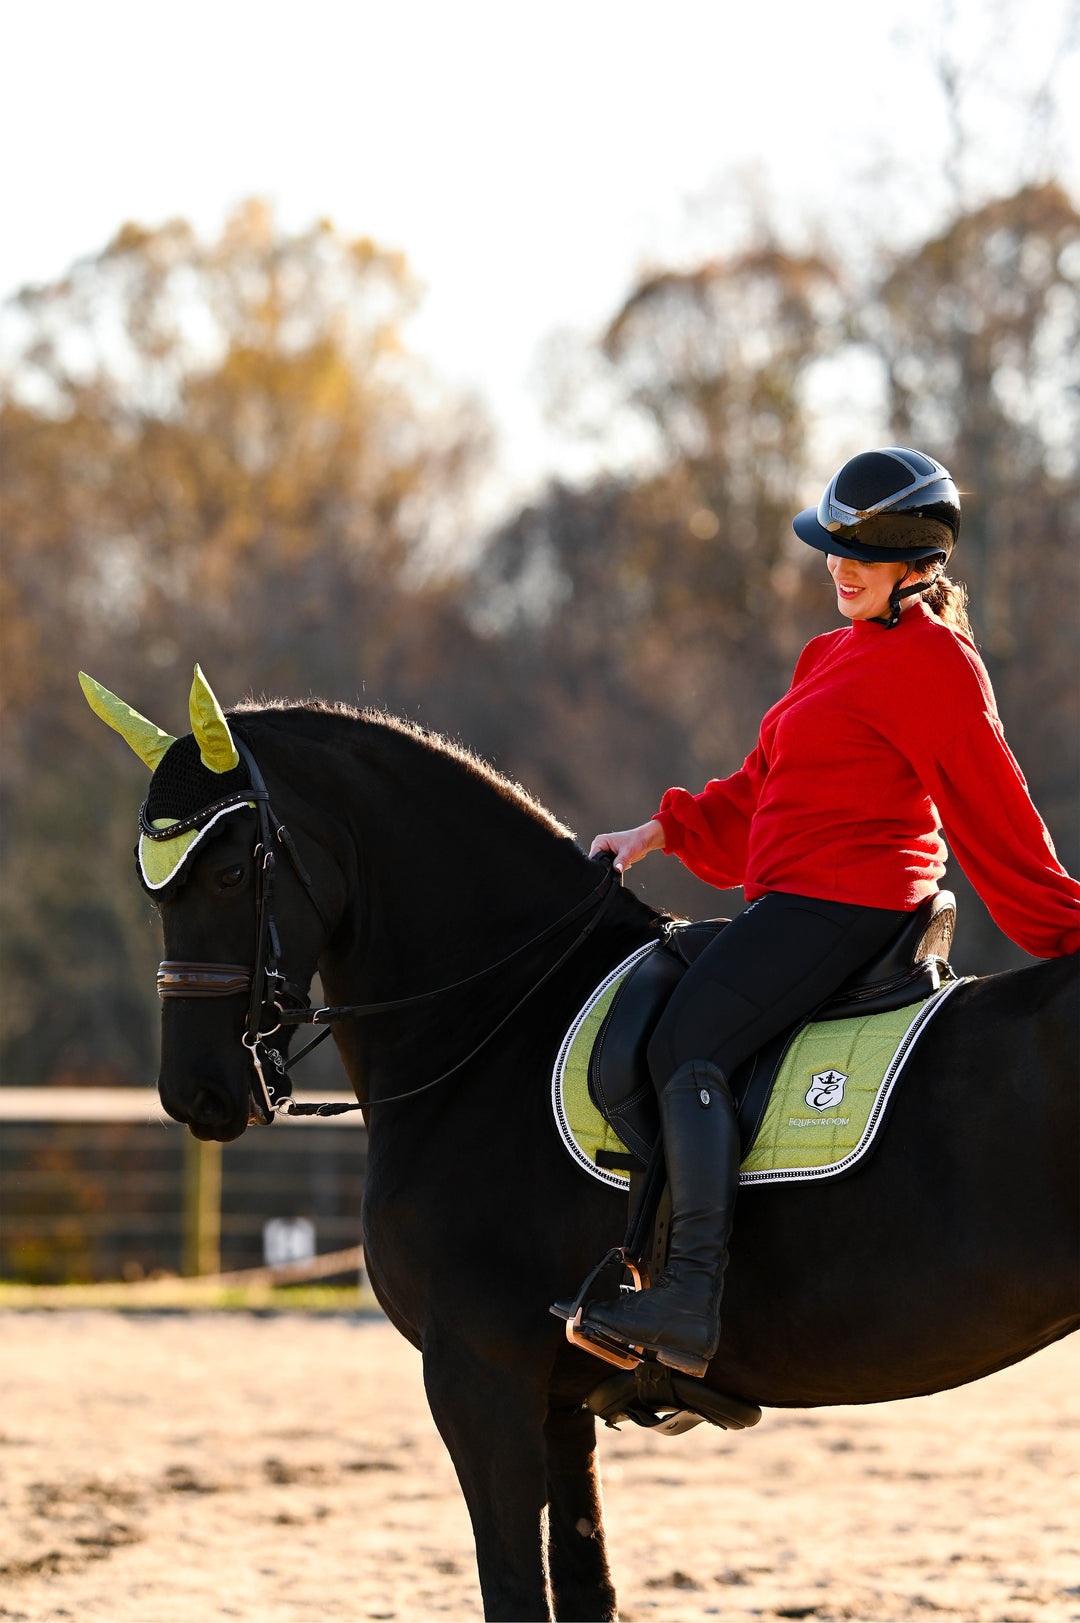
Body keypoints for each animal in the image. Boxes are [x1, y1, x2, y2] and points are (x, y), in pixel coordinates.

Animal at [147, 704, 1071, 1616]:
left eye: (227, 875)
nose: (194, 1090)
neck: (496, 1017)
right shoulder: (557, 1397)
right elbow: (585, 1581)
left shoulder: (480, 1375)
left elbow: (514, 1587)